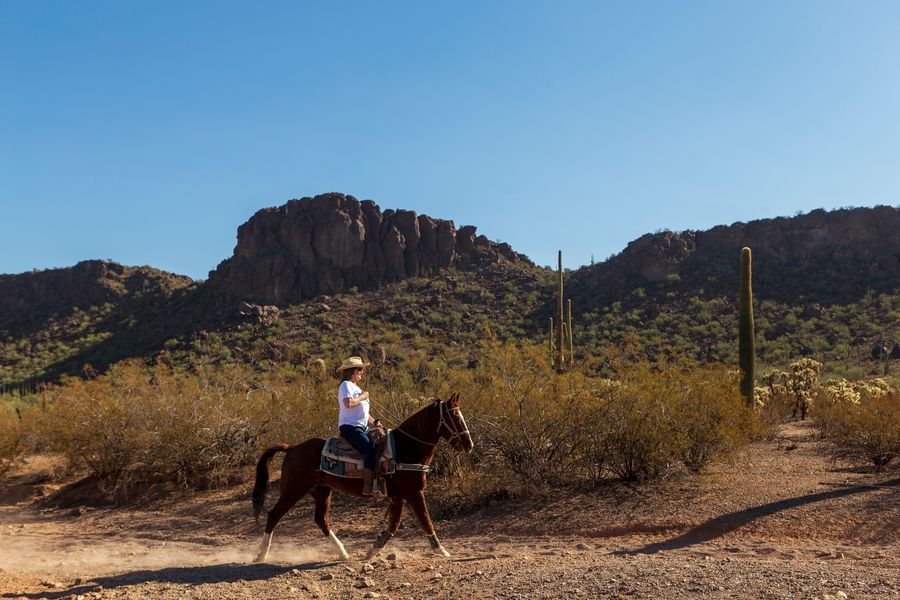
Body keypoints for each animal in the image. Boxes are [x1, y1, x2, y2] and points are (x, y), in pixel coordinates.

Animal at [250, 394, 474, 564]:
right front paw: (441, 550)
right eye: (455, 416)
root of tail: (292, 448)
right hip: (293, 489)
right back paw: (261, 555)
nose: (468, 444)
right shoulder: (414, 493)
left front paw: (372, 550)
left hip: (321, 491)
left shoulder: (398, 497)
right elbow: (426, 521)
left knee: (321, 520)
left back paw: (342, 552)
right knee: (274, 515)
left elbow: (393, 526)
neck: (405, 449)